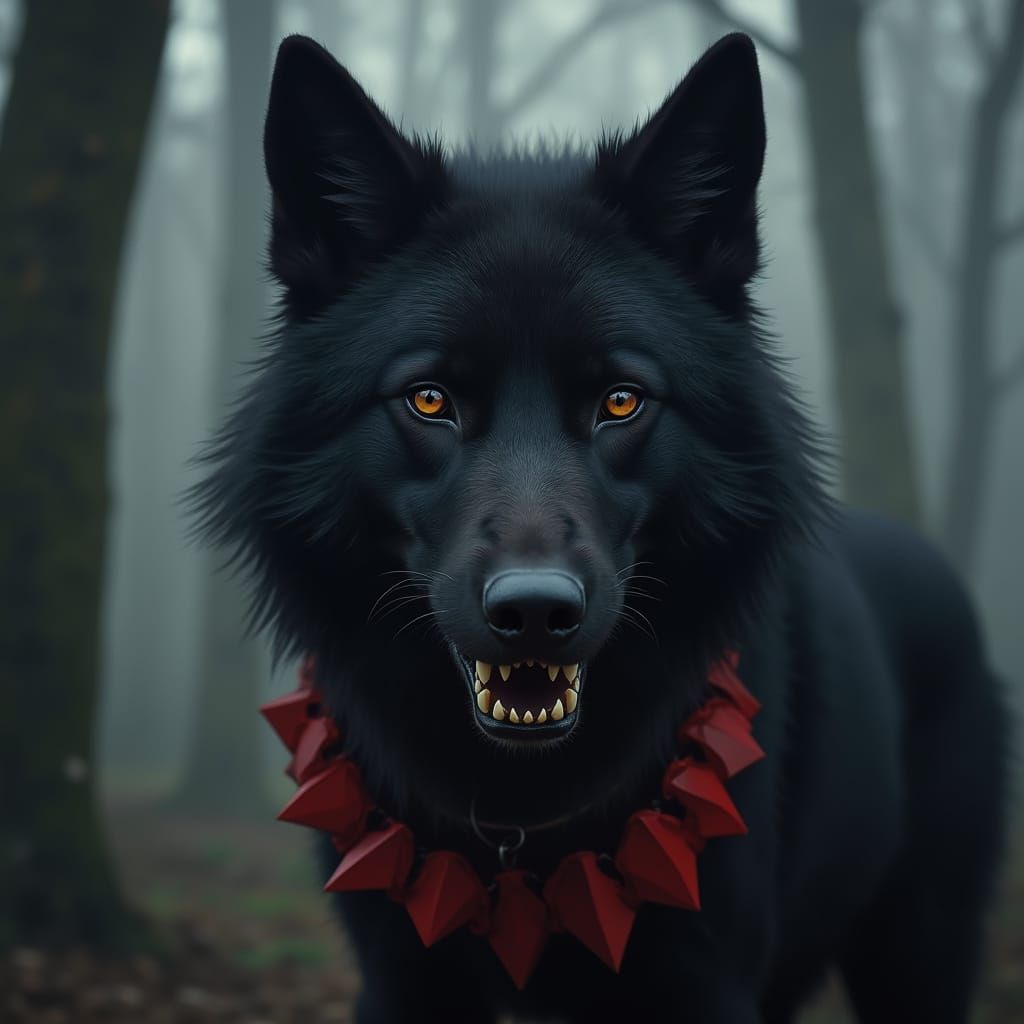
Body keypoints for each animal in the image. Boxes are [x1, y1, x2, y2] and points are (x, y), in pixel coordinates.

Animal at [194, 31, 1008, 1024]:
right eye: (429, 399)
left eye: (621, 401)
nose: (535, 613)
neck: (517, 823)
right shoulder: (401, 977)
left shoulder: (705, 982)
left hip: (918, 956)